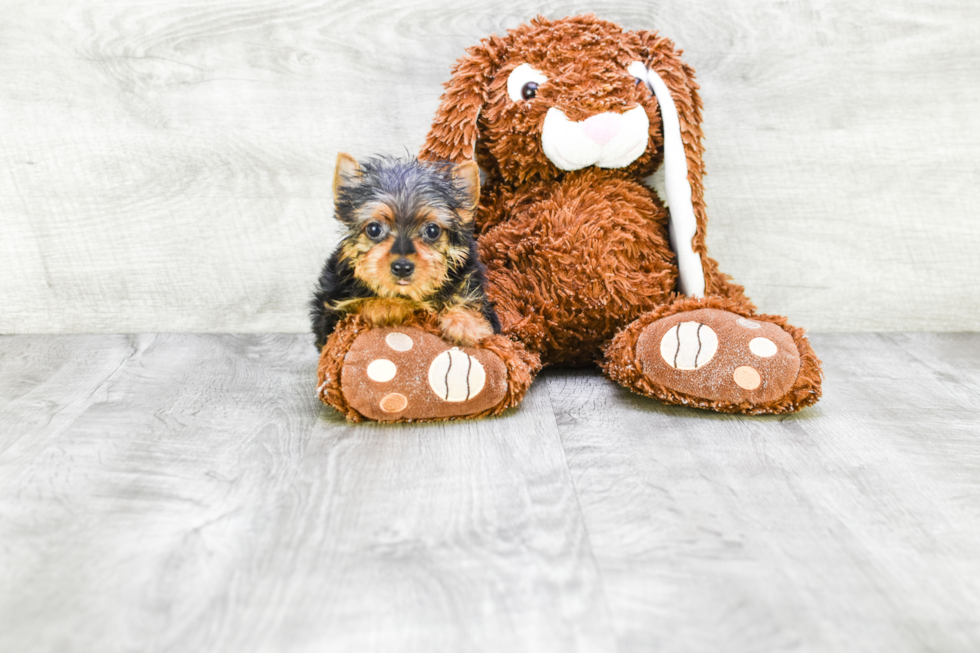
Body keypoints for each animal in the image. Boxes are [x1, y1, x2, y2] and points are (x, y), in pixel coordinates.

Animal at [312, 153, 502, 352]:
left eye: (432, 230)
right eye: (374, 229)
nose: (402, 267)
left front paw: (466, 322)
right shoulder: (331, 312)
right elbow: (354, 304)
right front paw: (387, 304)